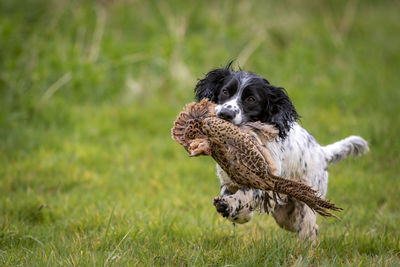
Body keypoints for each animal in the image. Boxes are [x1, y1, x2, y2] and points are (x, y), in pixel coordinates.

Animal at [194, 63, 368, 243]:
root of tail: (321, 152)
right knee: (311, 228)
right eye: (225, 91)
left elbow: (246, 194)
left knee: (307, 229)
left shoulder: (265, 180)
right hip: (285, 215)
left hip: (307, 202)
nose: (225, 114)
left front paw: (230, 204)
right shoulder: (228, 181)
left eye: (251, 99)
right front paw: (238, 212)